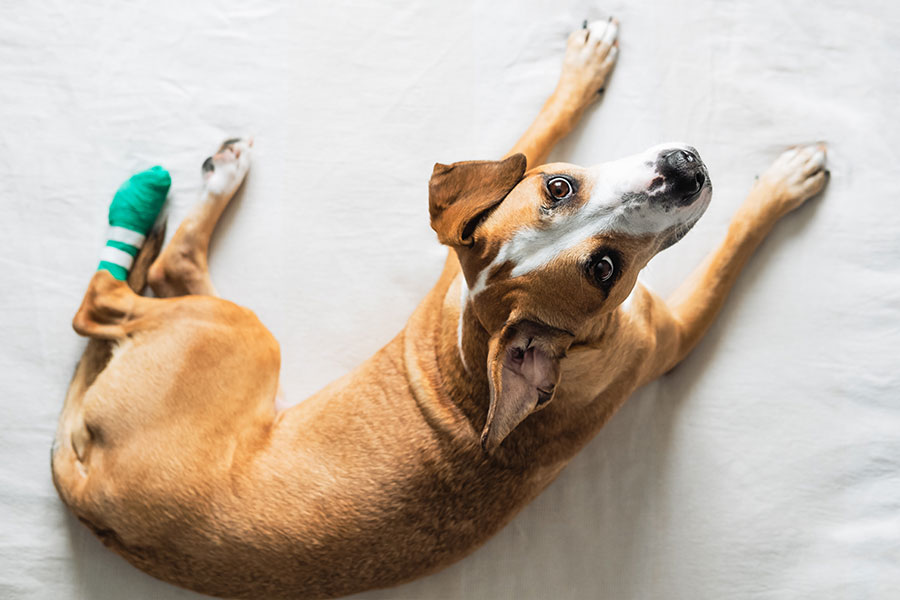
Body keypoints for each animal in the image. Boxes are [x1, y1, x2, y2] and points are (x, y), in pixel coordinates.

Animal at [49, 18, 828, 600]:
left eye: (559, 186)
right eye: (603, 270)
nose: (684, 169)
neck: (483, 335)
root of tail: (90, 495)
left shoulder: (465, 236)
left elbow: (533, 132)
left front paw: (584, 65)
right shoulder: (674, 335)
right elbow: (731, 247)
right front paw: (782, 185)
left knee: (167, 270)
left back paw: (213, 181)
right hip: (245, 333)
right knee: (102, 300)